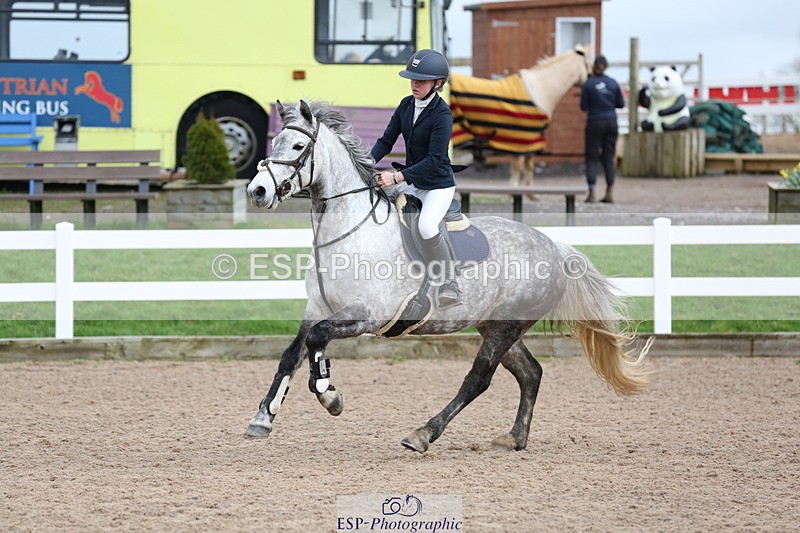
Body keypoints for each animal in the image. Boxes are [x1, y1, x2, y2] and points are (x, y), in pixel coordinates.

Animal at [245, 100, 650, 453]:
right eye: (273, 143)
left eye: (298, 146)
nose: (257, 191)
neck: (350, 230)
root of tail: (554, 246)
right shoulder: (317, 308)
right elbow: (293, 354)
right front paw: (263, 418)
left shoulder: (367, 314)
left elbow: (318, 340)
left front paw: (330, 395)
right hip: (496, 326)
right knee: (530, 372)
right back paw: (514, 438)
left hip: (504, 329)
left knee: (478, 379)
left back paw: (423, 434)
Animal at [450, 45, 592, 189]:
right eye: (589, 65)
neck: (540, 90)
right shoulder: (520, 144)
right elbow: (517, 173)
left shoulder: (529, 145)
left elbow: (528, 171)